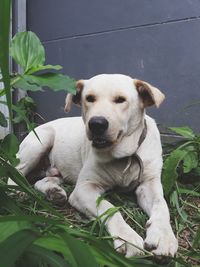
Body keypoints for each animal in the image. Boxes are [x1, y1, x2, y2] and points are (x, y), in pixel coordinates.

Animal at [9, 74, 178, 258]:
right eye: (89, 98)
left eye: (121, 99)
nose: (97, 123)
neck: (124, 155)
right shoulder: (84, 189)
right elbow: (109, 208)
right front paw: (127, 238)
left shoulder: (149, 184)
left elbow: (161, 205)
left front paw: (163, 236)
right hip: (40, 142)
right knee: (15, 171)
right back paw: (16, 191)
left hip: (54, 168)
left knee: (43, 179)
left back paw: (53, 192)